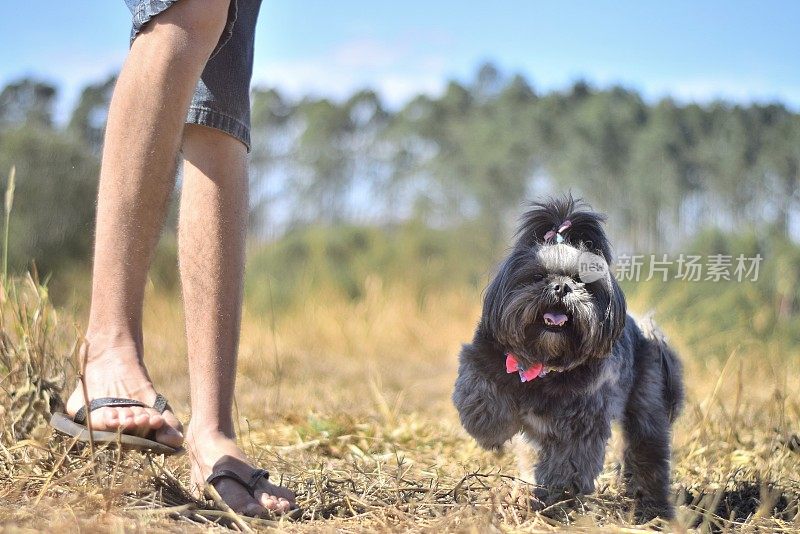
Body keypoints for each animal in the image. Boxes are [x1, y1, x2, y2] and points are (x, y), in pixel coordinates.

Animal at [454, 197, 684, 524]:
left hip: (646, 409)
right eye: (538, 276)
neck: (545, 364)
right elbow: (479, 389)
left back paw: (653, 508)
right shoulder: (484, 357)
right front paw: (489, 427)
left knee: (648, 458)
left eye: (581, 281)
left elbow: (569, 462)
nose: (562, 287)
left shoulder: (581, 422)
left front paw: (557, 496)